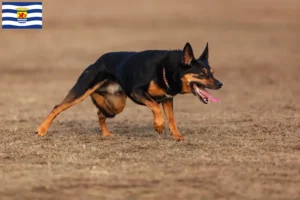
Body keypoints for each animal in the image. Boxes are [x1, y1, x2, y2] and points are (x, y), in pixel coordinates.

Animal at [35, 42, 223, 141]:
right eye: (202, 73)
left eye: (212, 72)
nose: (220, 84)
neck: (166, 70)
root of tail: (97, 61)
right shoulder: (138, 92)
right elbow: (156, 108)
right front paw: (158, 126)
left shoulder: (167, 99)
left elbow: (171, 118)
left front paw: (177, 136)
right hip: (82, 91)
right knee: (57, 107)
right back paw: (41, 130)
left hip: (117, 105)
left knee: (101, 113)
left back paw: (106, 133)